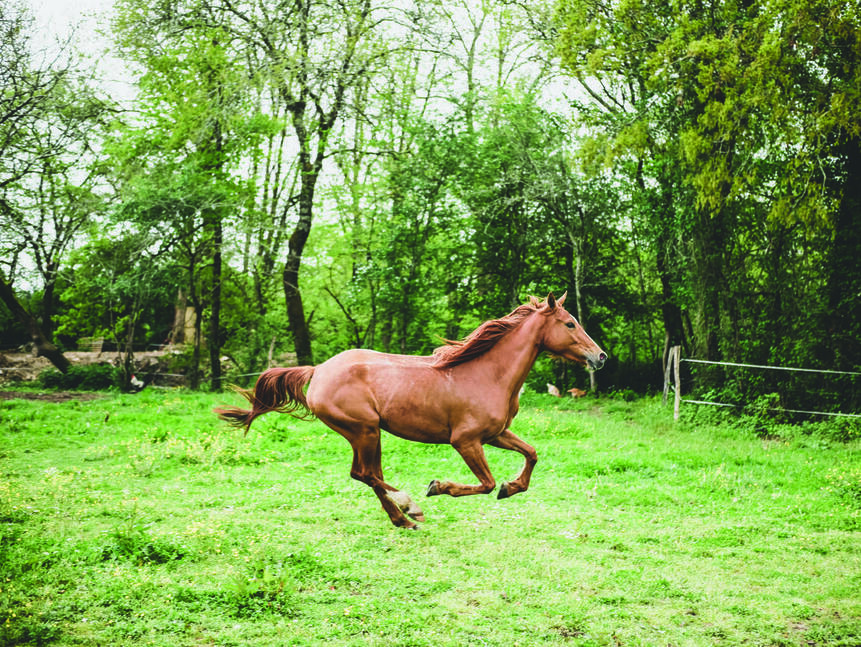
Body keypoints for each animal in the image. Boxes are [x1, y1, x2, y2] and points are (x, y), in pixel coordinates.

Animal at [214, 292, 604, 528]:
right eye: (570, 323)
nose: (600, 357)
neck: (487, 373)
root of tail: (319, 370)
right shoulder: (465, 441)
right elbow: (485, 483)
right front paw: (439, 486)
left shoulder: (495, 434)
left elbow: (532, 454)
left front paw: (513, 487)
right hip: (364, 430)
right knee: (366, 474)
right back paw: (409, 507)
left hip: (366, 434)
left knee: (365, 474)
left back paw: (402, 517)